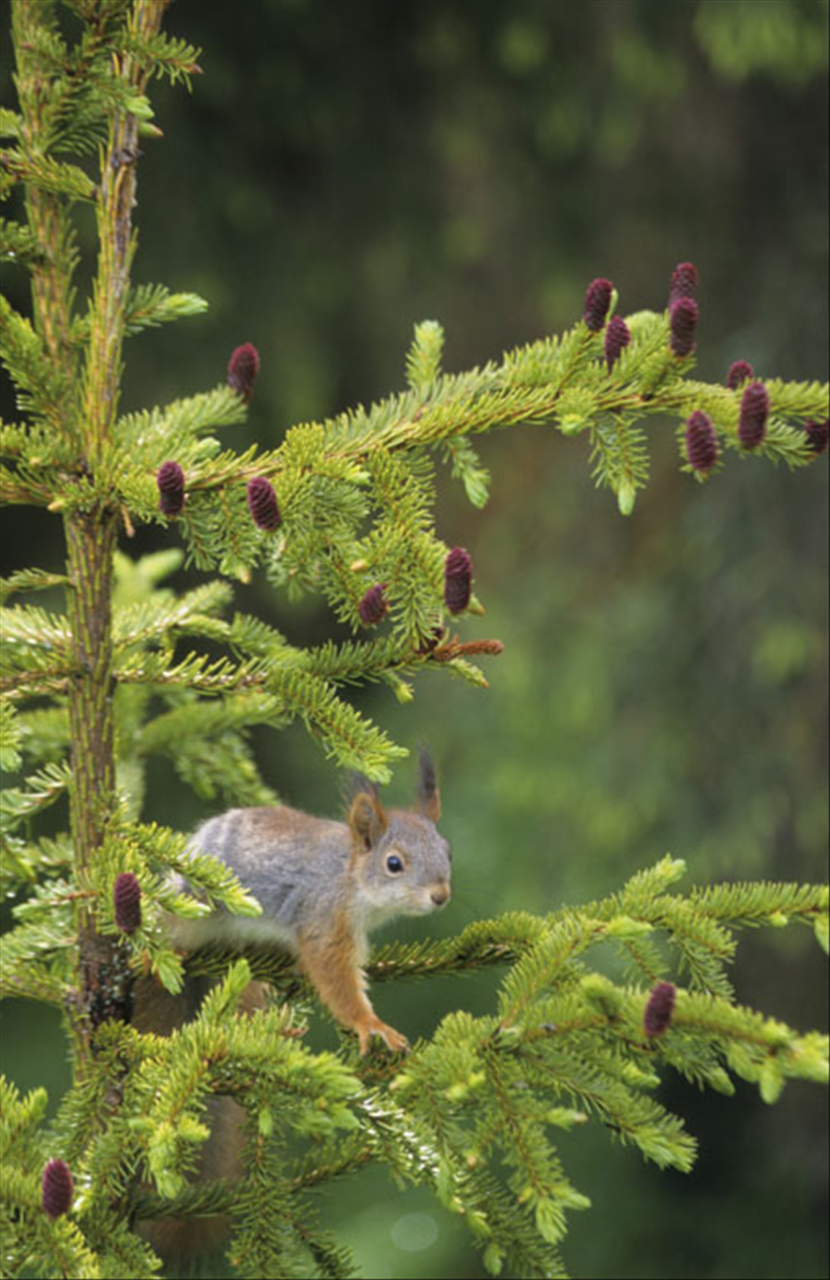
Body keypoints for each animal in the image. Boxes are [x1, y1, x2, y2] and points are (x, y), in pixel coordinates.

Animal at [131, 747, 450, 1259]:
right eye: (394, 864)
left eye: (447, 852)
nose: (441, 896)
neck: (350, 875)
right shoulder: (324, 917)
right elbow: (335, 975)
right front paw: (370, 1025)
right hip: (190, 907)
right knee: (167, 928)